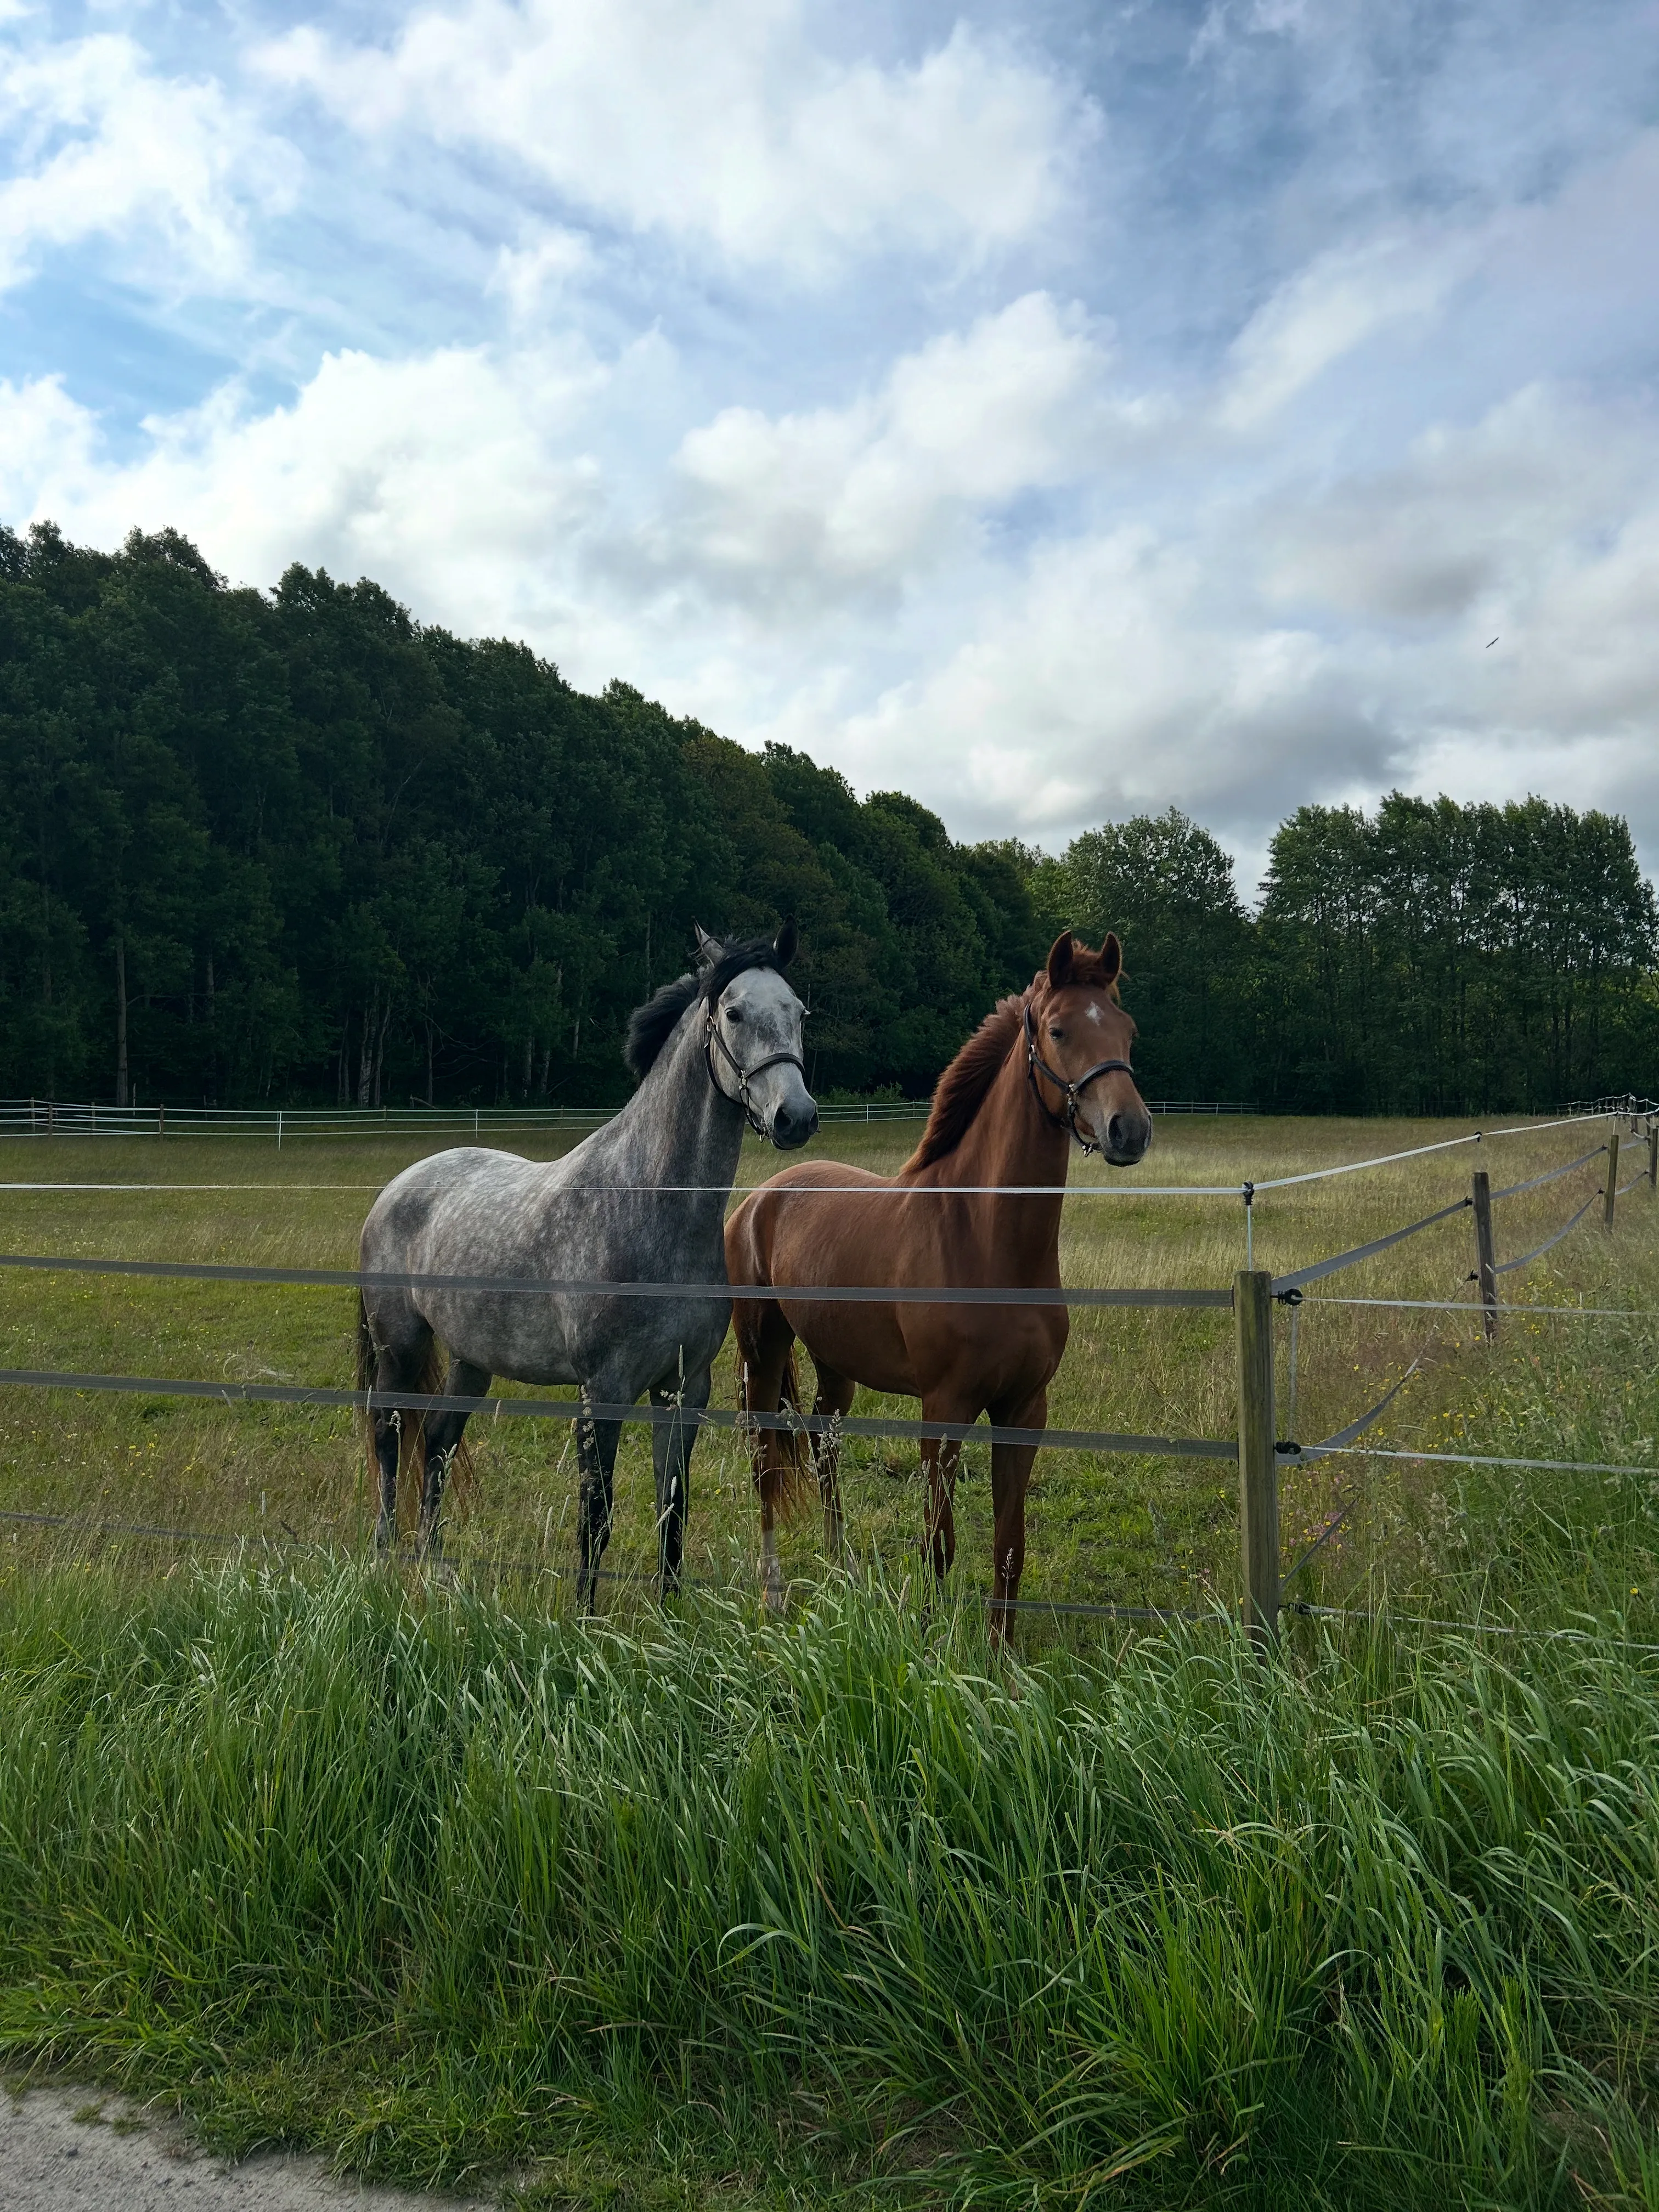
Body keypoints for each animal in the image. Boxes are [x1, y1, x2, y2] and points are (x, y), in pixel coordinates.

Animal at [356, 922, 817, 1600]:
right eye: (733, 1012)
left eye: (799, 1012)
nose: (796, 1117)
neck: (650, 1202)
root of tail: (397, 1187)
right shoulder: (605, 1389)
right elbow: (595, 1513)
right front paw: (584, 1614)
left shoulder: (684, 1388)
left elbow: (672, 1510)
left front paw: (668, 1612)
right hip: (401, 1347)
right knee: (390, 1438)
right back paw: (385, 1560)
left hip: (471, 1360)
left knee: (438, 1443)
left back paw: (435, 1568)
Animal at [725, 931, 1150, 1630]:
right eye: (1059, 1030)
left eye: (1127, 1030)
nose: (1130, 1130)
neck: (985, 1242)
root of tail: (761, 1197)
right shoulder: (944, 1410)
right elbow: (939, 1543)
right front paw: (932, 1634)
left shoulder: (1024, 1411)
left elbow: (1010, 1547)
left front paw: (1002, 1652)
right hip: (763, 1350)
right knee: (766, 1460)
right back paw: (773, 1593)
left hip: (836, 1362)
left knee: (823, 1438)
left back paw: (840, 1563)